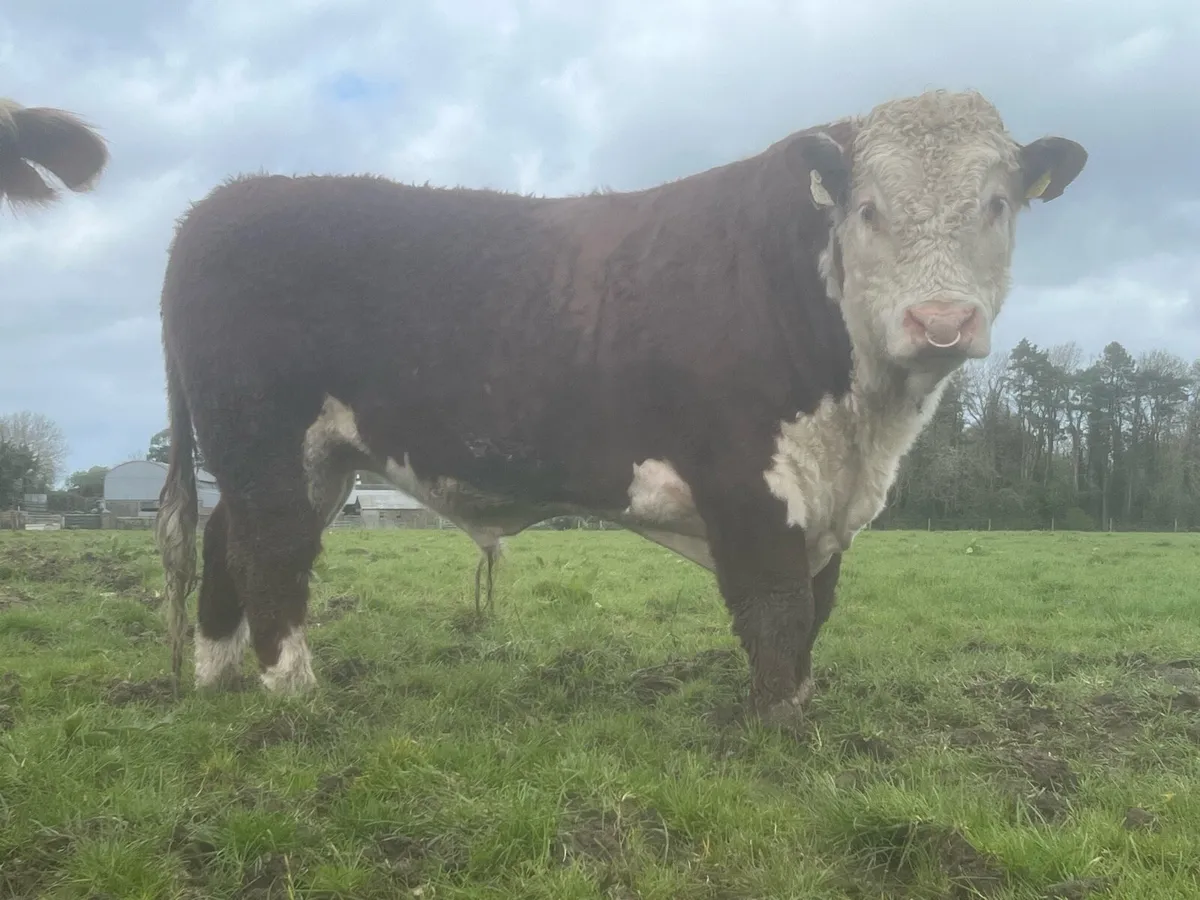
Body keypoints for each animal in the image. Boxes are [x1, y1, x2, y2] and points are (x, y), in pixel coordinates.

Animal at [155, 89, 1087, 722]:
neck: (865, 425)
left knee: (228, 540)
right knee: (273, 554)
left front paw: (801, 707)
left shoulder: (824, 495)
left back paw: (216, 678)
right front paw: (779, 729)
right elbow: (778, 612)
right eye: (868, 208)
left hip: (307, 455)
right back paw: (293, 697)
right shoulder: (749, 481)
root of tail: (220, 202)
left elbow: (815, 608)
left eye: (997, 204)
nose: (942, 321)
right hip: (261, 436)